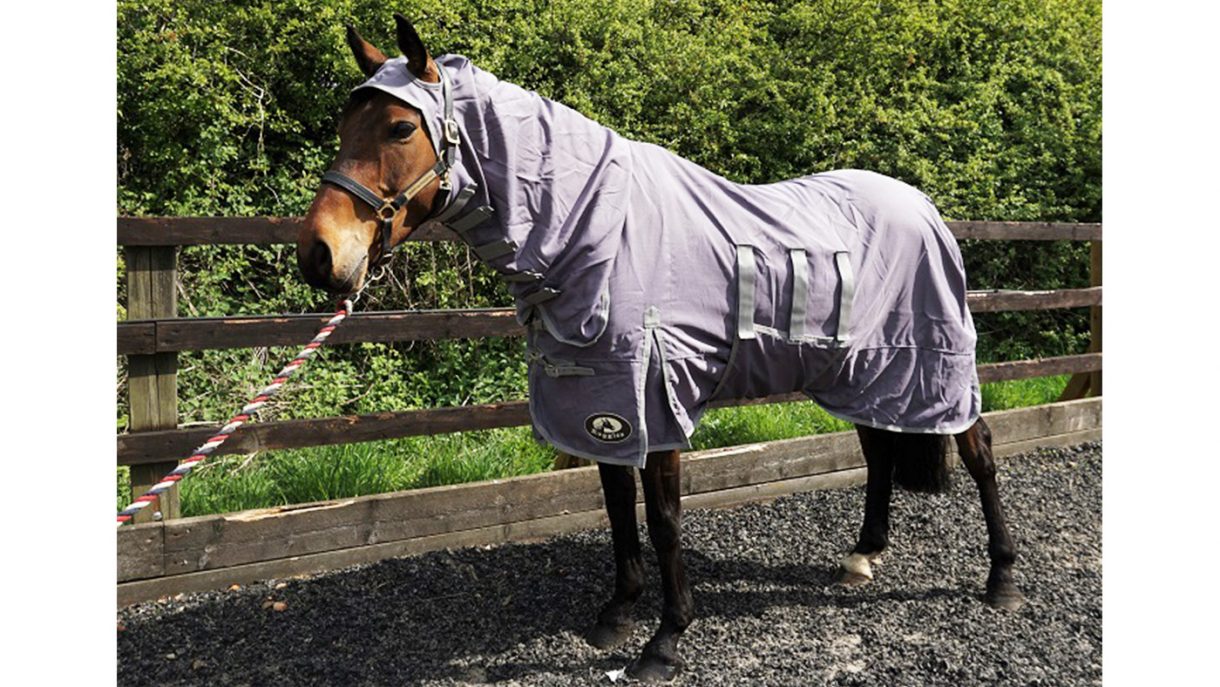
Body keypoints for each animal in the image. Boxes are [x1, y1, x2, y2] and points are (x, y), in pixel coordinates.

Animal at [297, 14, 1023, 682]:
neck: (597, 235)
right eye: (343, 125)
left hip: (936, 366)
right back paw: (863, 556)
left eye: (400, 129)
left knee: (980, 452)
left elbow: (666, 519)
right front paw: (617, 614)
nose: (319, 254)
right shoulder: (603, 405)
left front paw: (666, 641)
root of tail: (922, 206)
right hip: (864, 371)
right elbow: (620, 512)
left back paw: (1003, 580)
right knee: (877, 450)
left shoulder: (656, 401)